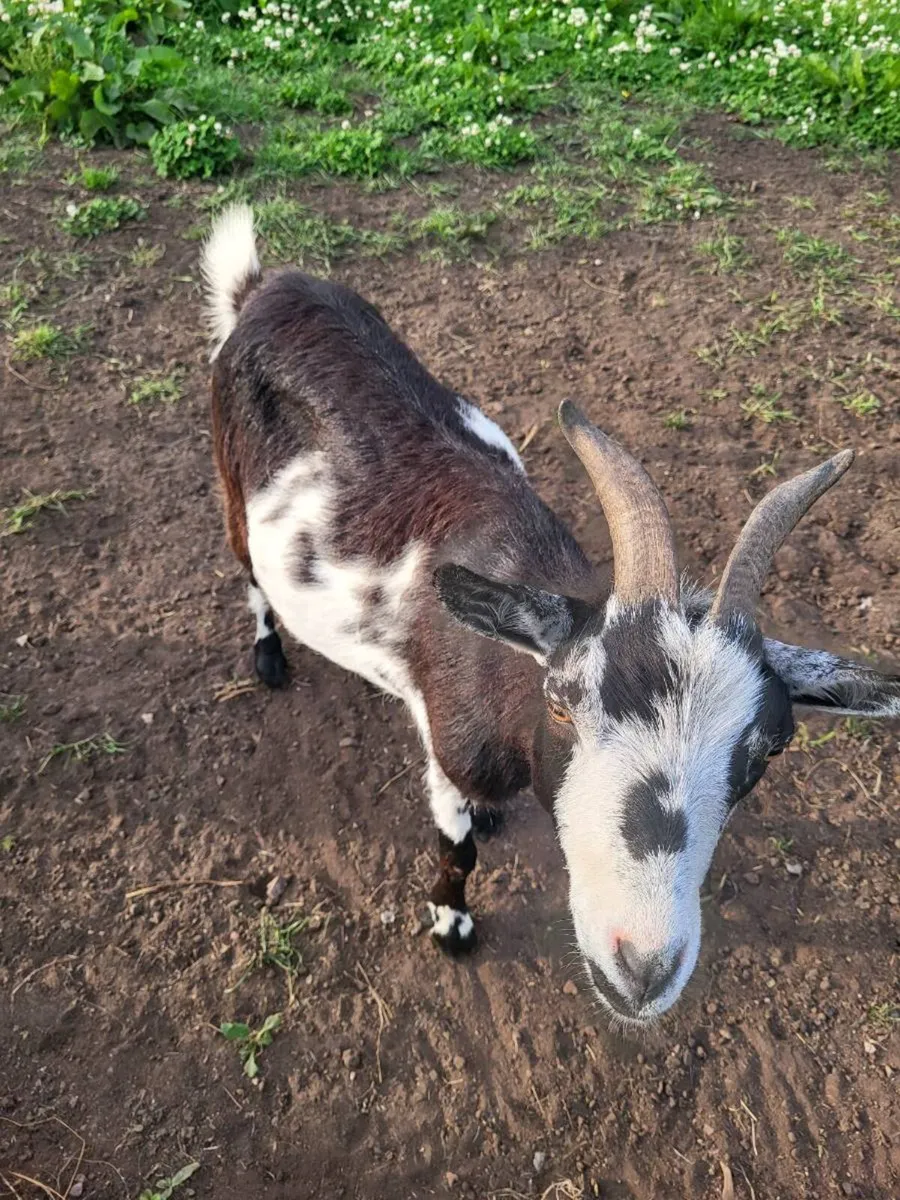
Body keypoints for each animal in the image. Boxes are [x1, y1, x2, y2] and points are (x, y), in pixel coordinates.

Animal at [202, 204, 899, 1025]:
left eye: (771, 746)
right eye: (562, 704)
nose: (640, 968)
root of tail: (264, 287)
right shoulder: (449, 749)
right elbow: (457, 848)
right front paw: (451, 924)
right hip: (230, 478)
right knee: (247, 567)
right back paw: (268, 656)